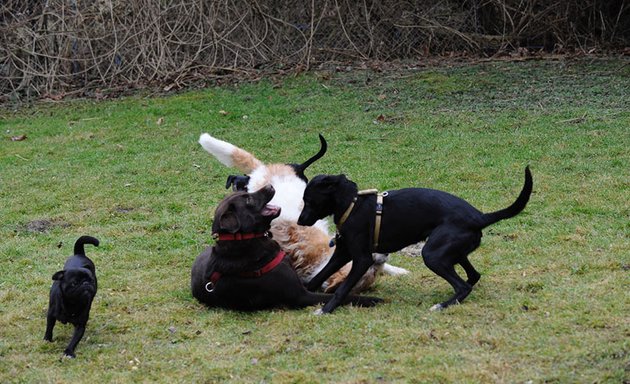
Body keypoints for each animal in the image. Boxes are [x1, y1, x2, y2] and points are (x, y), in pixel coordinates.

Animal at [190, 184, 382, 310]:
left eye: (247, 194)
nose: (269, 185)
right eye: (249, 199)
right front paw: (372, 299)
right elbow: (346, 296)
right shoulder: (301, 296)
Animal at [298, 166, 536, 314]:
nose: (300, 221)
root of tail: (479, 217)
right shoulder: (342, 254)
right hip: (451, 251)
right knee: (473, 276)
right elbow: (317, 277)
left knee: (463, 286)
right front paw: (309, 293)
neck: (352, 204)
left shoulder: (363, 259)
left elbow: (342, 288)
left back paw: (442, 305)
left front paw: (326, 309)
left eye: (309, 200)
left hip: (432, 254)